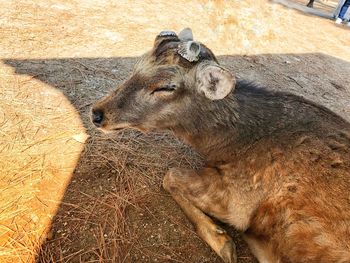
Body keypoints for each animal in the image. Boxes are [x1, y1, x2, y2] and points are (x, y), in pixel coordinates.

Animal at [91, 27, 350, 262]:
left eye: (166, 86)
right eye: (137, 65)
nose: (97, 113)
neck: (231, 145)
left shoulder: (240, 199)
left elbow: (170, 176)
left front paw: (222, 241)